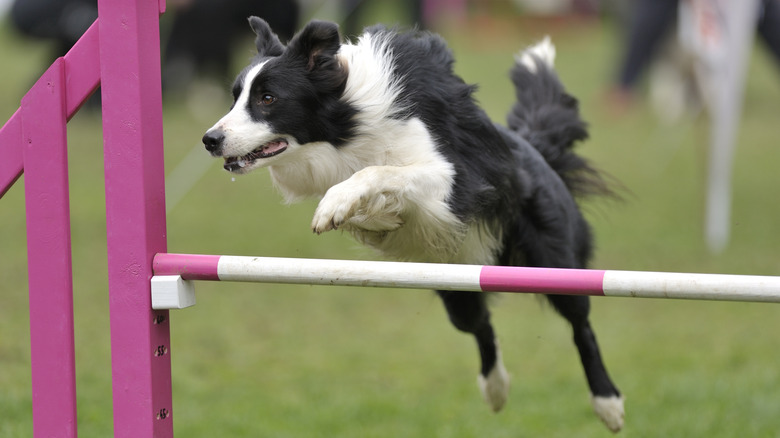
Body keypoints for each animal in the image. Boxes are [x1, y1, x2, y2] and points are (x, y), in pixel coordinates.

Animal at [204, 16, 624, 432]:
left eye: (268, 98)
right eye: (235, 97)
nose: (210, 139)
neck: (347, 123)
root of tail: (536, 149)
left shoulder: (451, 180)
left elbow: (380, 171)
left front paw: (337, 205)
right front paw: (373, 216)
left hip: (554, 263)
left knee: (580, 325)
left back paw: (608, 403)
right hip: (457, 287)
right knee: (482, 324)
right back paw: (495, 389)